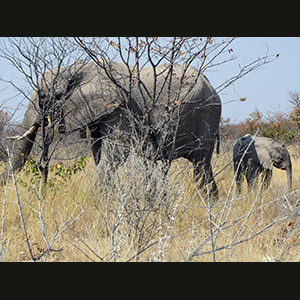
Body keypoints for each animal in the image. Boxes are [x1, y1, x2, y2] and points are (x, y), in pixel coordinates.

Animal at [2, 60, 221, 197]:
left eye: (44, 97)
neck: (76, 69)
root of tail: (212, 87)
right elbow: (98, 150)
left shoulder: (119, 105)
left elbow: (117, 150)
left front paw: (96, 200)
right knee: (204, 164)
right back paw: (213, 200)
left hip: (205, 115)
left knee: (200, 163)